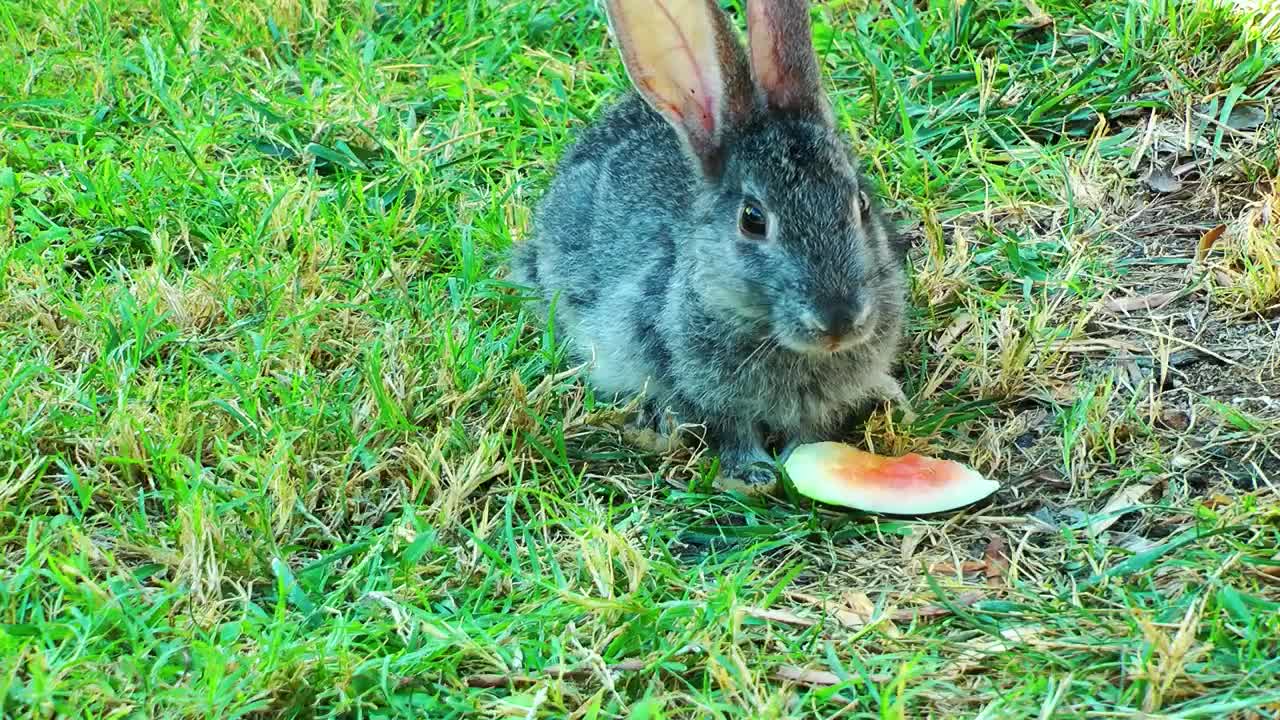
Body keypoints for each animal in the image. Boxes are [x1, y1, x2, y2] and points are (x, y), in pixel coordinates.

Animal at [509, 0, 911, 489]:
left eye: (861, 203)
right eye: (752, 220)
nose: (838, 320)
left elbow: (809, 432)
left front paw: (799, 460)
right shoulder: (696, 387)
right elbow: (729, 429)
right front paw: (751, 475)